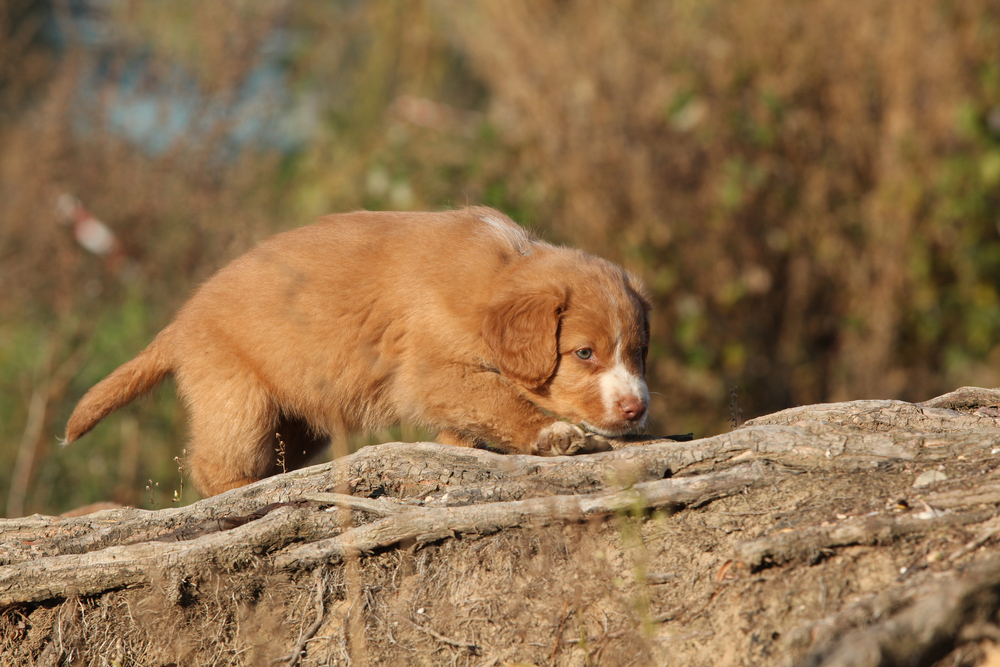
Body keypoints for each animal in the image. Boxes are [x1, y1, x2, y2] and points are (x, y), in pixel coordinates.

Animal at [66, 207, 652, 496]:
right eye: (584, 353)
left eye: (639, 353)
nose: (636, 409)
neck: (495, 275)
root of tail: (180, 324)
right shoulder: (427, 370)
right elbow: (495, 396)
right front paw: (552, 435)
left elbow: (474, 412)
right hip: (238, 399)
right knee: (214, 464)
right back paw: (238, 489)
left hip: (296, 424)